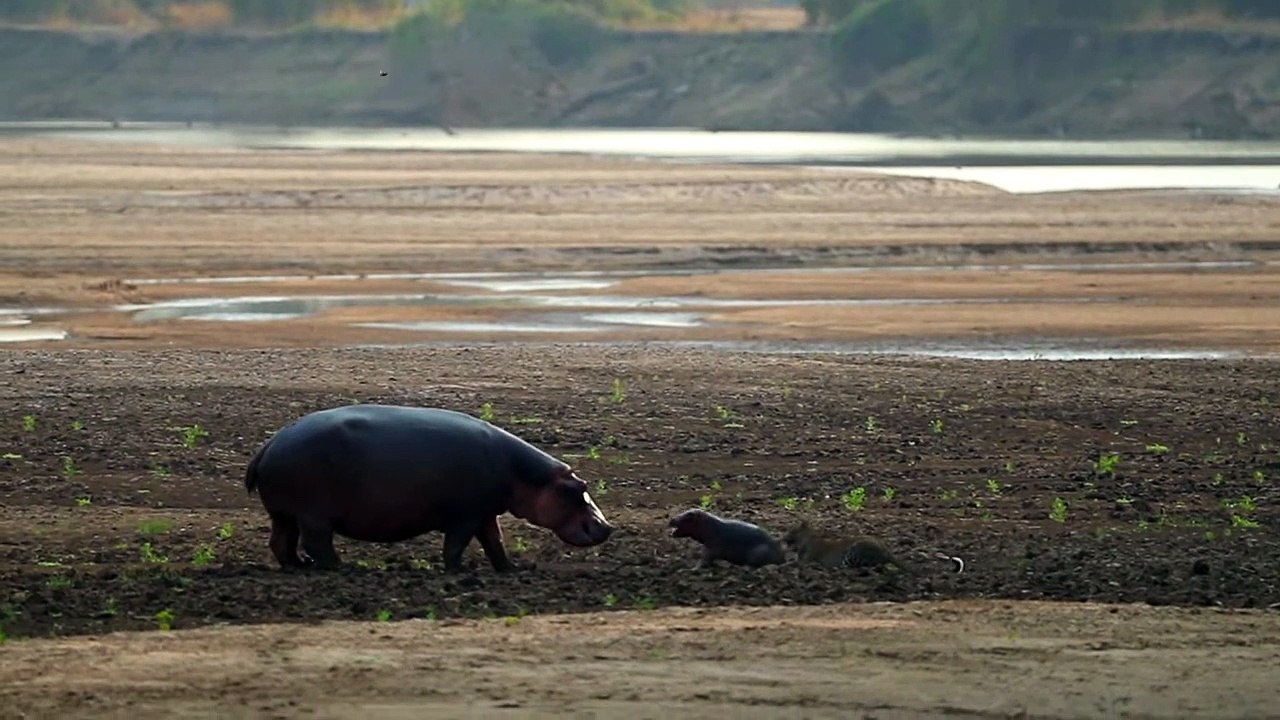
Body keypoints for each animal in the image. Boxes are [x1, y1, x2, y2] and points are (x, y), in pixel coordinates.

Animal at [244, 404, 614, 572]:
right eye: (579, 486)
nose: (608, 526)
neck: (524, 475)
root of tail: (270, 443)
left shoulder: (484, 514)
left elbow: (495, 542)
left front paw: (510, 569)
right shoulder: (465, 517)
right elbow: (455, 546)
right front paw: (459, 571)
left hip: (286, 514)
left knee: (281, 542)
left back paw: (298, 567)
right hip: (313, 516)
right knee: (317, 544)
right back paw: (342, 568)